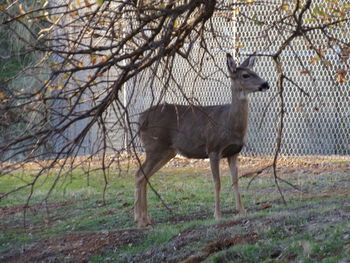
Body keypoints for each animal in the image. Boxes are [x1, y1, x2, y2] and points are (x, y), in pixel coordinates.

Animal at [135, 53, 270, 227]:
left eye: (255, 72)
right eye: (245, 75)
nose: (265, 83)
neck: (229, 124)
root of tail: (140, 119)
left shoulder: (234, 152)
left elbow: (235, 181)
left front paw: (241, 211)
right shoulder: (213, 148)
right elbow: (217, 182)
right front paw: (217, 215)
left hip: (167, 151)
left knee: (144, 177)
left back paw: (145, 219)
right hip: (154, 146)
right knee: (139, 175)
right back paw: (140, 220)